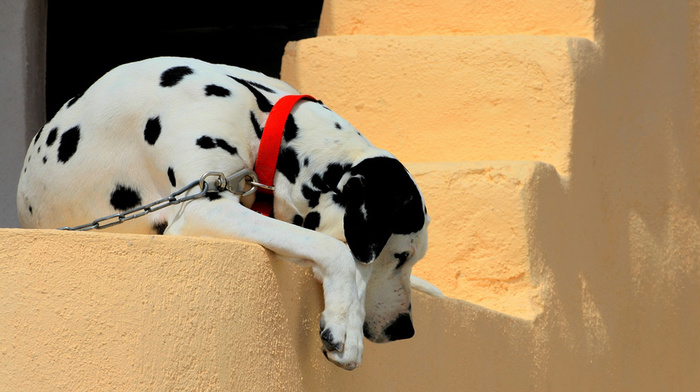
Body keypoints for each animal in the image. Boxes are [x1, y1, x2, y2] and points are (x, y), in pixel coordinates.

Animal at [16, 56, 430, 370]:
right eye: (401, 255)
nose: (406, 329)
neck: (259, 115)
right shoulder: (202, 207)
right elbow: (336, 250)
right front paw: (345, 325)